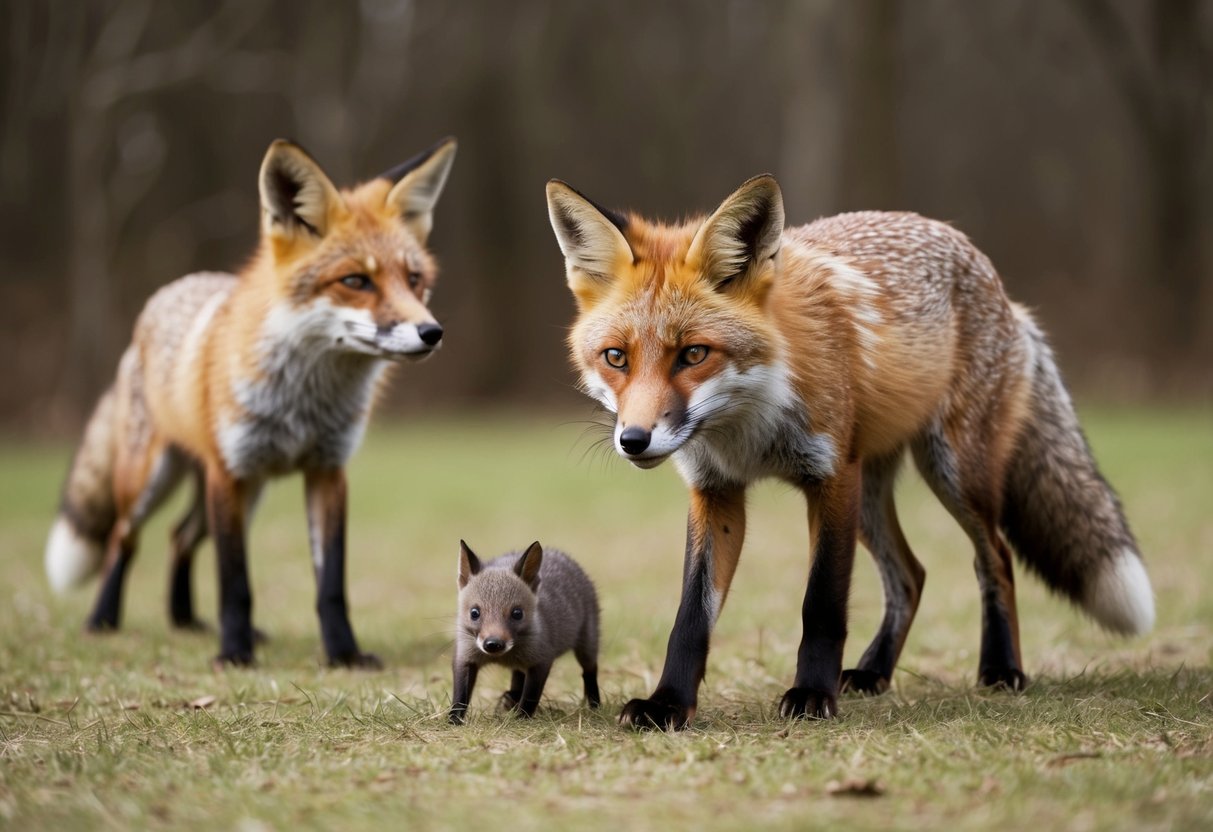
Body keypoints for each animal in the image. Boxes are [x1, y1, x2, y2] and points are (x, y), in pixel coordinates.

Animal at [44, 136, 458, 667]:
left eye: (414, 279)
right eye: (355, 281)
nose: (432, 332)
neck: (303, 405)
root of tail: (164, 295)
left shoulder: (328, 470)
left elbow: (331, 584)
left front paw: (343, 654)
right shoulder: (229, 472)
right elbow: (234, 581)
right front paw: (234, 653)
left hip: (245, 491)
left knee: (179, 537)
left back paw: (185, 621)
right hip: (155, 480)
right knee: (123, 537)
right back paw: (103, 620)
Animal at [449, 540, 601, 724]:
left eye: (517, 613)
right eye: (474, 613)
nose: (493, 644)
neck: (503, 658)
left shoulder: (541, 659)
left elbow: (530, 698)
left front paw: (521, 719)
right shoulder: (465, 657)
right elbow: (460, 697)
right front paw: (453, 721)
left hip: (587, 645)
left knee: (589, 672)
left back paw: (596, 706)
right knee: (518, 678)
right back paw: (511, 700)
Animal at [545, 173, 1155, 730]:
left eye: (693, 354)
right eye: (616, 358)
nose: (634, 440)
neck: (747, 430)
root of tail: (999, 286)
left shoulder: (830, 476)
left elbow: (822, 604)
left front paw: (812, 697)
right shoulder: (716, 493)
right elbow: (691, 617)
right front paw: (669, 704)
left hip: (952, 472)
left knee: (995, 558)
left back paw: (1001, 669)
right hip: (872, 495)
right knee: (912, 574)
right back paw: (874, 672)